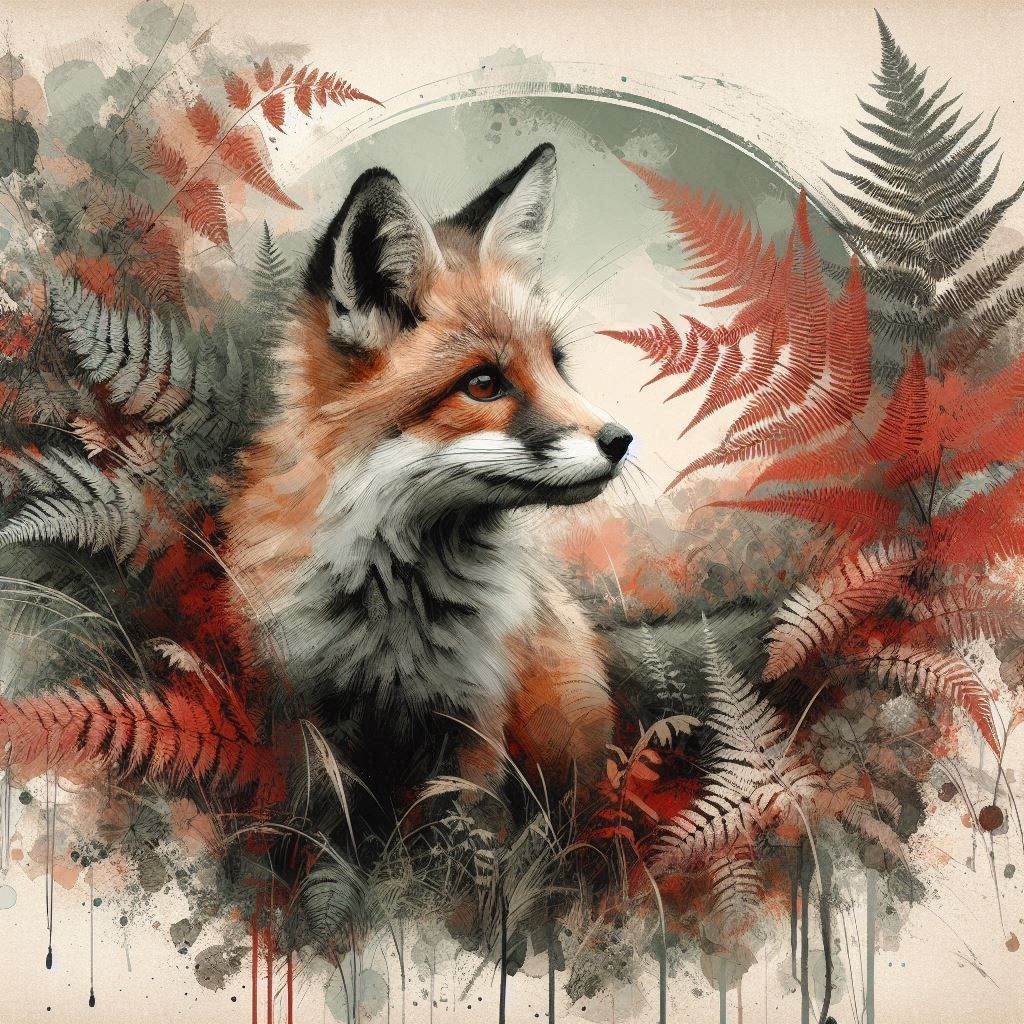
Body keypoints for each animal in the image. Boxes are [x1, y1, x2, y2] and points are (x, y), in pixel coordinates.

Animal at [222, 143, 632, 811]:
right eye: (484, 384)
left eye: (557, 364)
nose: (622, 441)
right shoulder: (296, 711)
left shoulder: (472, 719)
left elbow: (459, 834)